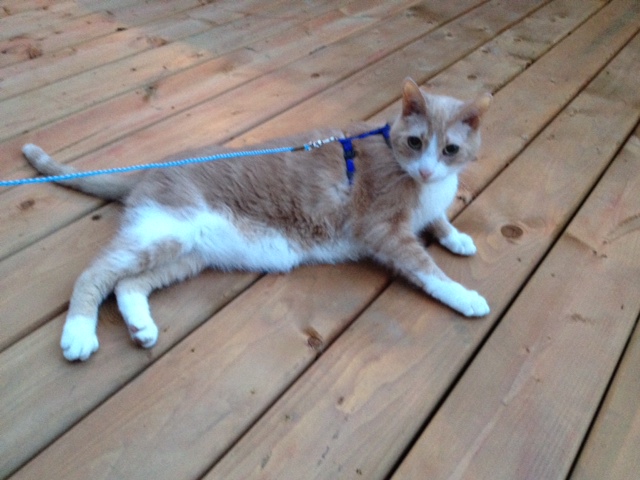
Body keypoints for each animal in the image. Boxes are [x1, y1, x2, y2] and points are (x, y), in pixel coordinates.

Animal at [20, 78, 490, 360]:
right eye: (416, 143)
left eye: (450, 150)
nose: (426, 170)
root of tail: (153, 168)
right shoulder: (384, 230)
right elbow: (429, 270)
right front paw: (466, 296)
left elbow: (439, 220)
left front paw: (457, 236)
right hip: (164, 235)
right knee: (95, 273)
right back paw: (79, 334)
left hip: (187, 256)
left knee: (128, 285)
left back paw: (141, 327)